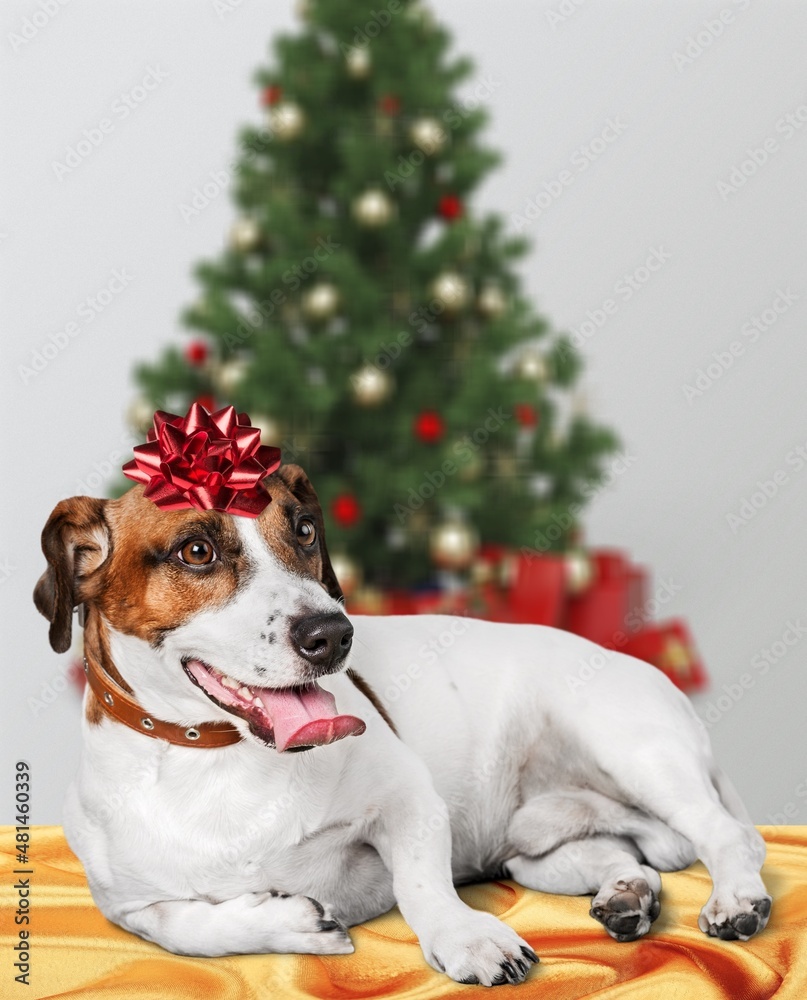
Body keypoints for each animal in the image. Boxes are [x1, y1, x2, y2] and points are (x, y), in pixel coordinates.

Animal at [34, 466, 772, 984]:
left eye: (304, 530)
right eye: (195, 551)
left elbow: (423, 886)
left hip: (635, 753)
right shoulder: (128, 908)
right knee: (626, 854)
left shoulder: (409, 803)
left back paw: (736, 899)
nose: (332, 632)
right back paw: (627, 893)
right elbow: (184, 927)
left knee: (728, 835)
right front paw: (292, 921)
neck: (219, 759)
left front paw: (467, 938)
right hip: (539, 853)